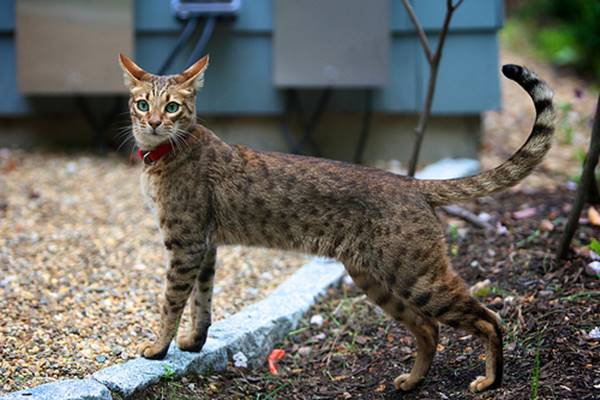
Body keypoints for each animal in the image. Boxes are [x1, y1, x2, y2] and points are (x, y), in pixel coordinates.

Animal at [119, 54, 556, 394]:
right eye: (141, 104)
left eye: (172, 107)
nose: (153, 121)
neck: (168, 152)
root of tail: (412, 182)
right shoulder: (206, 247)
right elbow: (202, 303)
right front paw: (194, 343)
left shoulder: (185, 244)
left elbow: (172, 302)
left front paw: (158, 348)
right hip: (375, 279)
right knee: (428, 329)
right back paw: (412, 382)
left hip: (416, 277)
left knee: (489, 318)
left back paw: (490, 381)